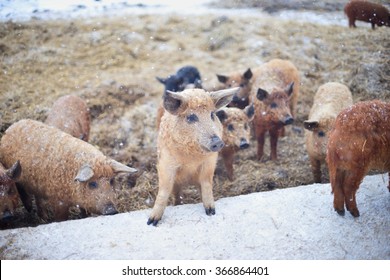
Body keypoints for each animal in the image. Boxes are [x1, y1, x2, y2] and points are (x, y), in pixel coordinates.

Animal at [0, 119, 137, 222]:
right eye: (92, 184)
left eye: (112, 181)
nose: (111, 211)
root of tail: (11, 127)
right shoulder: (59, 202)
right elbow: (62, 217)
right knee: (22, 190)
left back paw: (43, 218)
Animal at [147, 87, 236, 225]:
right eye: (191, 117)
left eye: (212, 114)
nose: (217, 142)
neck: (191, 159)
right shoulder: (166, 164)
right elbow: (164, 190)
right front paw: (151, 222)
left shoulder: (210, 162)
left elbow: (206, 183)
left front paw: (211, 212)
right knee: (176, 193)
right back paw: (176, 205)